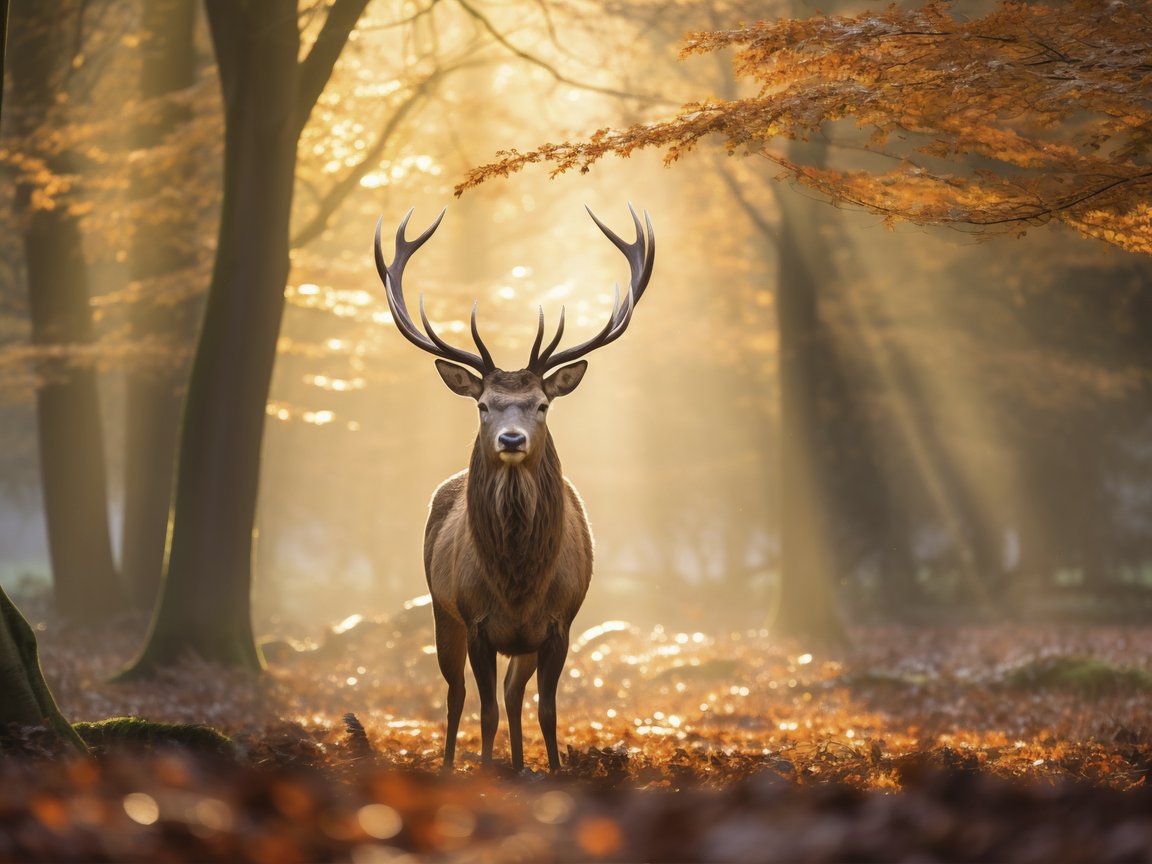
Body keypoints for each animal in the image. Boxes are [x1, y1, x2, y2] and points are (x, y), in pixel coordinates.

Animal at [373, 205, 655, 772]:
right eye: (483, 404)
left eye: (541, 404)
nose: (510, 438)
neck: (518, 584)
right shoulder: (476, 621)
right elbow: (482, 711)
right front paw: (485, 770)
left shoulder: (559, 625)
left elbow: (546, 709)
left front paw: (552, 769)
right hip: (440, 610)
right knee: (456, 693)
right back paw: (449, 764)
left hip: (519, 643)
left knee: (512, 693)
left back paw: (521, 764)